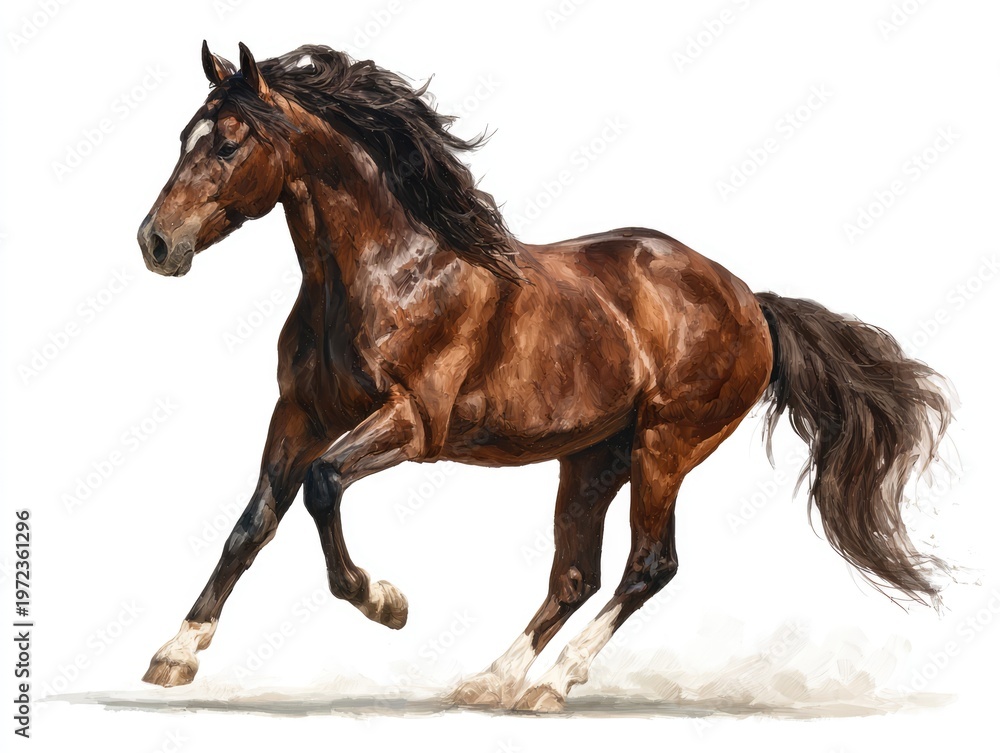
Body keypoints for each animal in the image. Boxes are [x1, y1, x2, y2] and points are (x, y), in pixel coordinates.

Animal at [136, 42, 952, 712]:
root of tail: (751, 299)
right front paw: (175, 654)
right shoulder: (299, 413)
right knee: (575, 576)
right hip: (591, 459)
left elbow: (322, 485)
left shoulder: (412, 423)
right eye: (183, 137)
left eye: (229, 144)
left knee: (649, 565)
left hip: (665, 446)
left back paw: (551, 685)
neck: (385, 272)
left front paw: (385, 601)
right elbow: (251, 525)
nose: (155, 242)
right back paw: (491, 680)